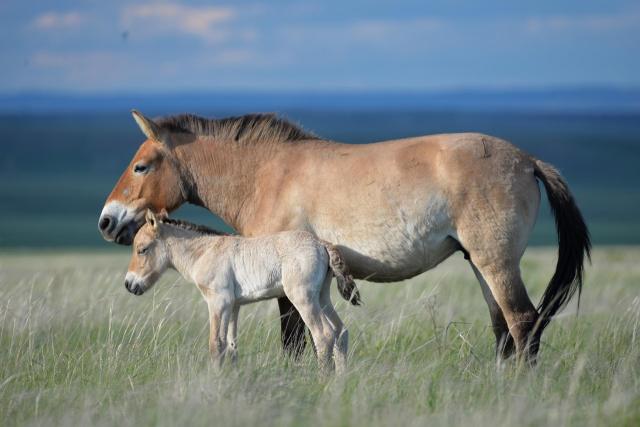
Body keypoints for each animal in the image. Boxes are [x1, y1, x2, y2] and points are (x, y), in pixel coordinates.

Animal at [125, 209, 360, 372]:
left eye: (142, 249)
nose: (129, 284)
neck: (205, 252)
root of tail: (321, 243)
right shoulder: (233, 306)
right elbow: (230, 345)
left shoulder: (218, 302)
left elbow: (216, 344)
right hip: (322, 296)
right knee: (340, 332)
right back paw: (340, 381)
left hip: (303, 298)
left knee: (323, 335)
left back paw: (323, 381)